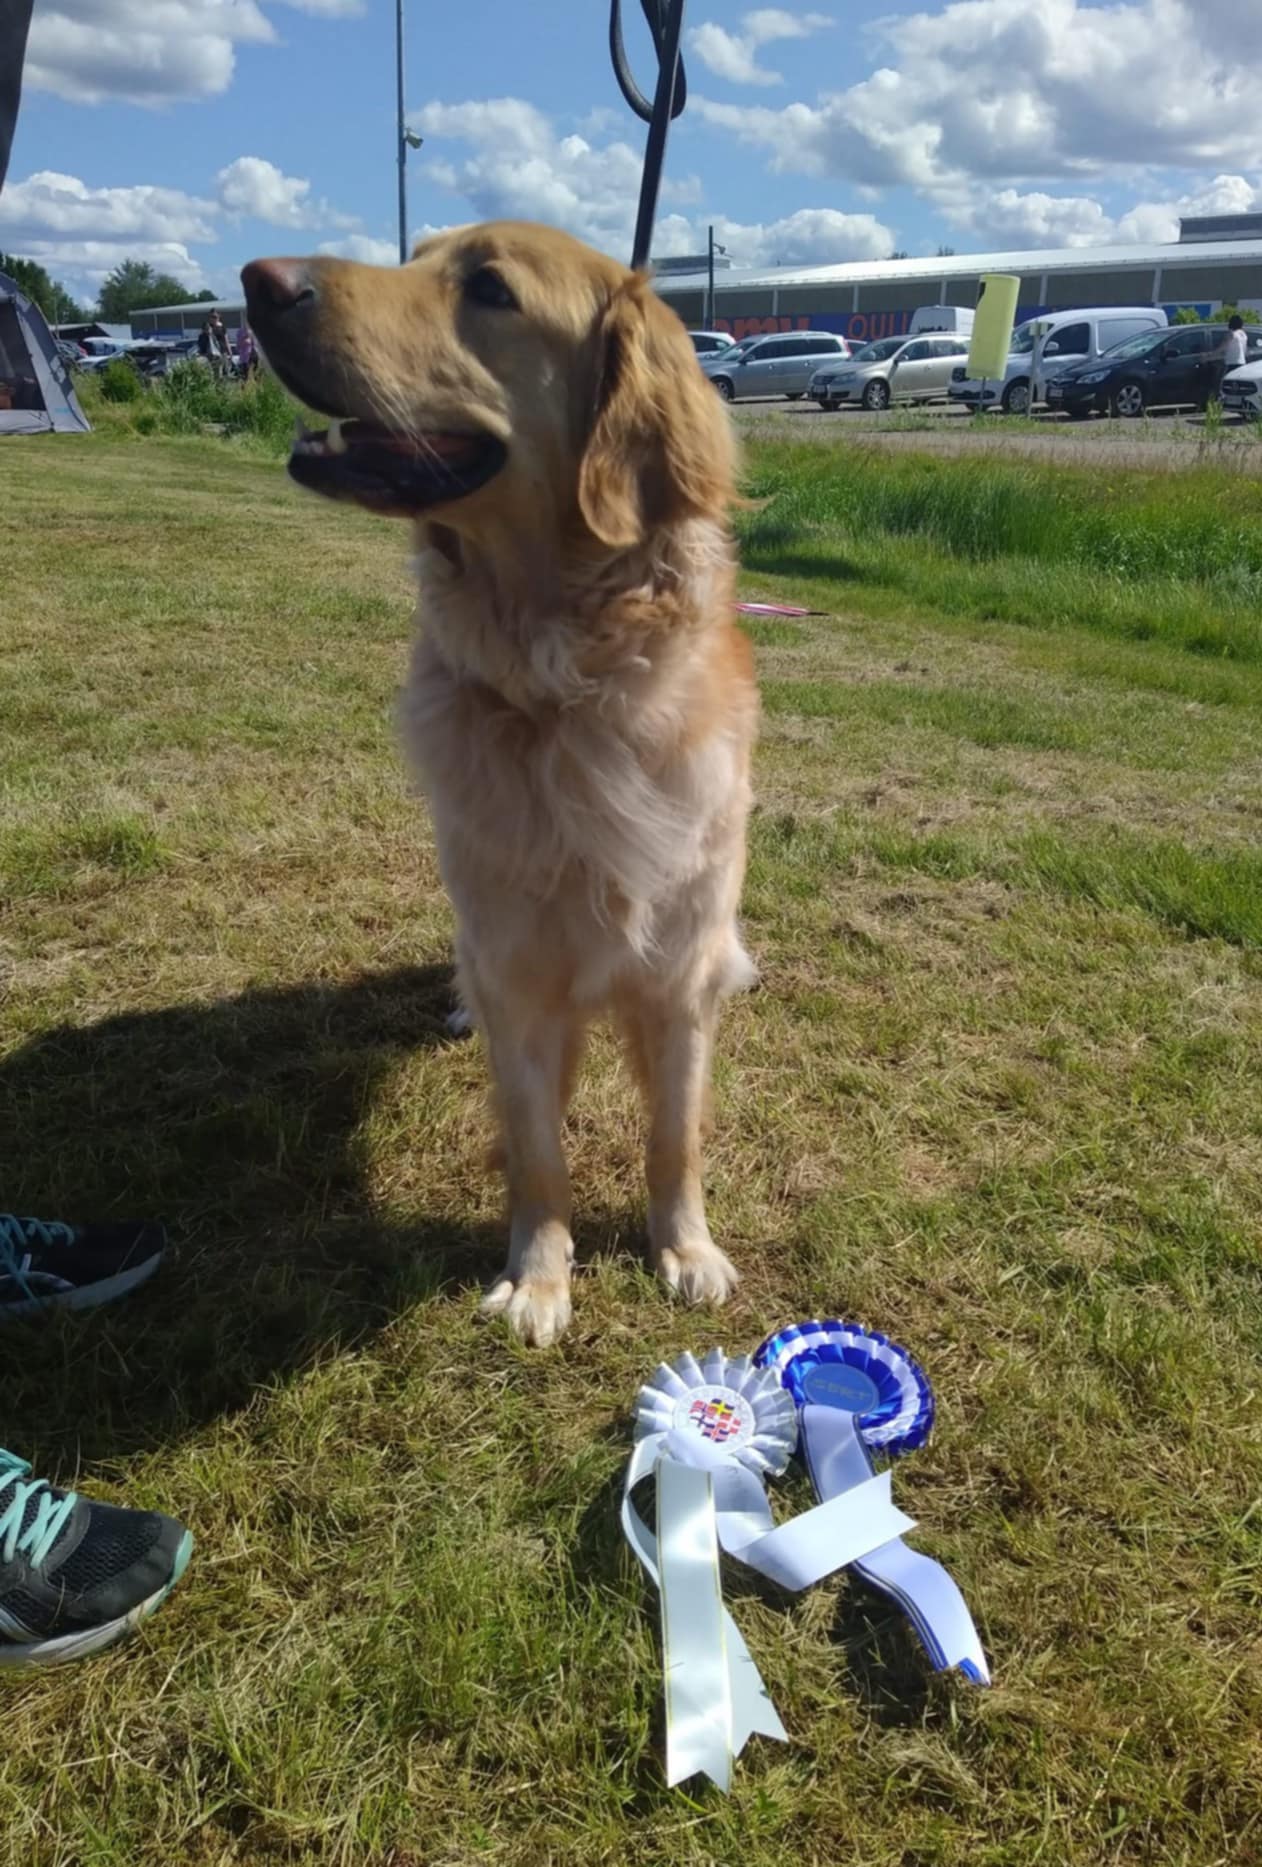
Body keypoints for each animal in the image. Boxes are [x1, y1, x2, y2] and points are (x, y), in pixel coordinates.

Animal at [242, 222, 758, 1346]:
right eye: (415, 255)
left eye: (488, 289)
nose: (257, 282)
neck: (563, 682)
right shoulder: (518, 973)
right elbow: (537, 1154)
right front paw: (540, 1277)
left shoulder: (677, 971)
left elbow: (675, 1134)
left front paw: (684, 1248)